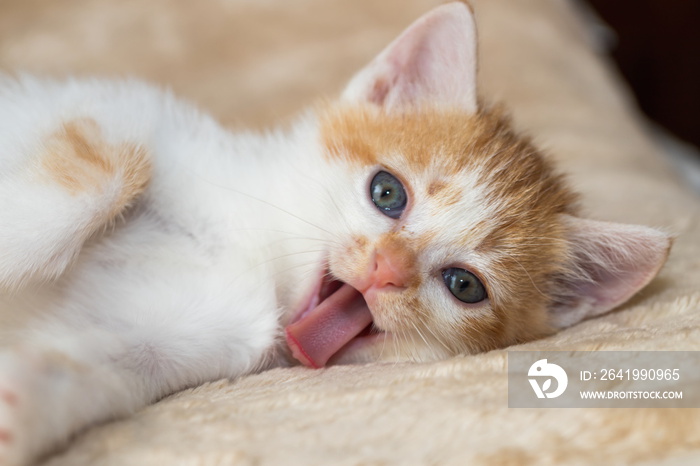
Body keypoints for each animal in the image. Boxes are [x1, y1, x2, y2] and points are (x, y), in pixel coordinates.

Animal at [0, 1, 668, 464]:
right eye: (387, 192)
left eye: (464, 286)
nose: (384, 269)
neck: (256, 250)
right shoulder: (122, 110)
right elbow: (111, 168)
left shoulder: (171, 345)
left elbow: (95, 369)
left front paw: (24, 406)